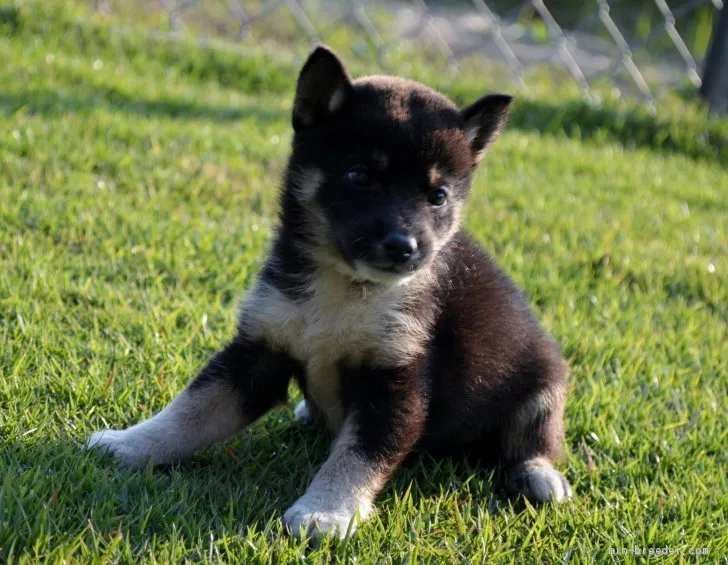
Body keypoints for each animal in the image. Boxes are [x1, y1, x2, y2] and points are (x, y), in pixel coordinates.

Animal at [88, 46, 572, 540]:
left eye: (438, 196)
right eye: (359, 176)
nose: (404, 247)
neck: (345, 288)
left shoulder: (397, 377)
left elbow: (358, 455)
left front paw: (327, 511)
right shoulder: (259, 348)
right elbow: (191, 410)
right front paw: (131, 443)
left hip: (544, 381)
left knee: (533, 440)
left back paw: (539, 477)